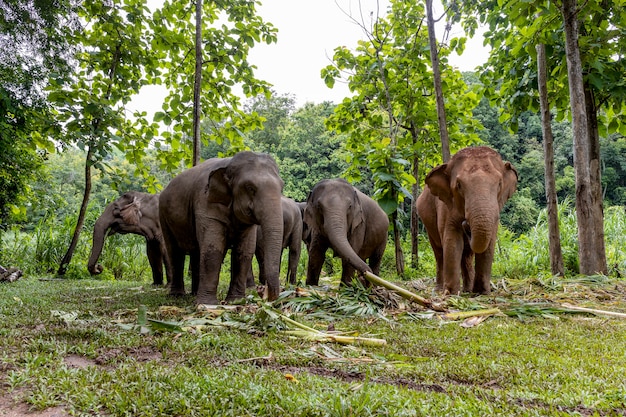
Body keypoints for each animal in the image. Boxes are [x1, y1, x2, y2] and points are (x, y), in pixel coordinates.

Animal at [157, 151, 284, 304]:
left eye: (282, 187)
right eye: (250, 188)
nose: (264, 293)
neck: (228, 164)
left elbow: (245, 251)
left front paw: (235, 301)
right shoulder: (205, 203)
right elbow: (213, 248)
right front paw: (207, 304)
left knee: (196, 252)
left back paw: (194, 293)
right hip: (163, 215)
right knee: (175, 252)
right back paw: (177, 295)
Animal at [414, 145, 516, 294]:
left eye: (499, 184)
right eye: (459, 185)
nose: (466, 224)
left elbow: (489, 243)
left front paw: (482, 292)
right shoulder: (446, 207)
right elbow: (452, 241)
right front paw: (451, 293)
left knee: (466, 255)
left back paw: (468, 289)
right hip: (427, 222)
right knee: (439, 252)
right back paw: (439, 289)